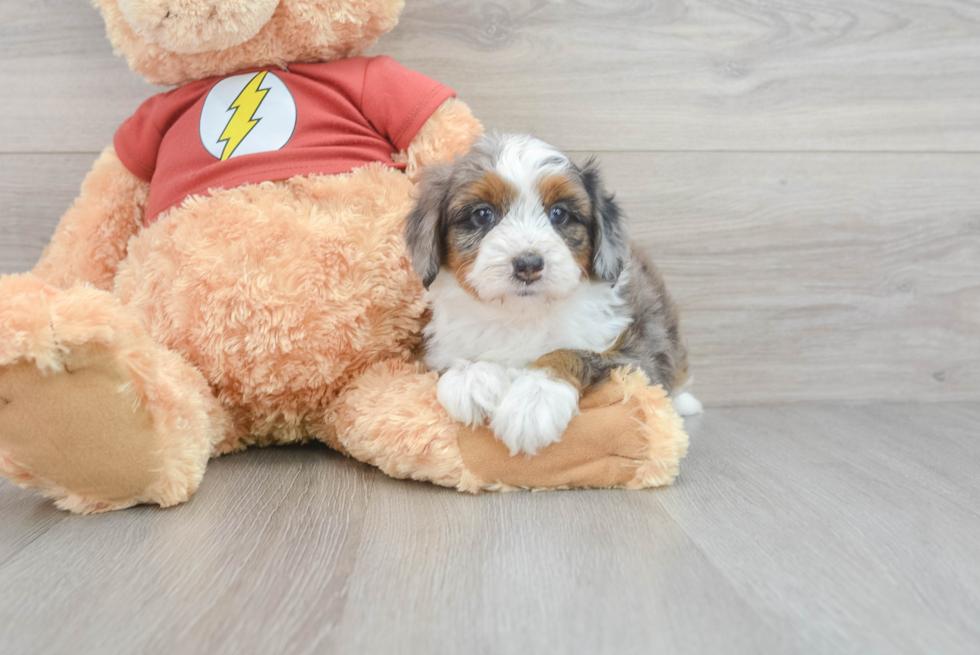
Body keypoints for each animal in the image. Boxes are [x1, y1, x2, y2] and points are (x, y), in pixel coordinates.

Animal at [402, 133, 700, 456]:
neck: (523, 315)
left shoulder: (640, 356)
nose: (528, 264)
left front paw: (534, 398)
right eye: (482, 214)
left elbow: (571, 352)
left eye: (559, 213)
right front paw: (471, 376)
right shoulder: (440, 347)